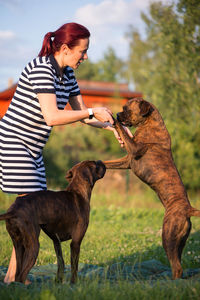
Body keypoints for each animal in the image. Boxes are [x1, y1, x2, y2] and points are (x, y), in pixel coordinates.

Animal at [104, 98, 200, 278]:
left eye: (127, 109)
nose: (119, 114)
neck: (149, 123)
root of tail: (188, 209)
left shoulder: (134, 149)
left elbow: (122, 132)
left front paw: (112, 118)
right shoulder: (127, 161)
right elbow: (106, 163)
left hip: (168, 236)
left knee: (177, 267)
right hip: (179, 242)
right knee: (178, 263)